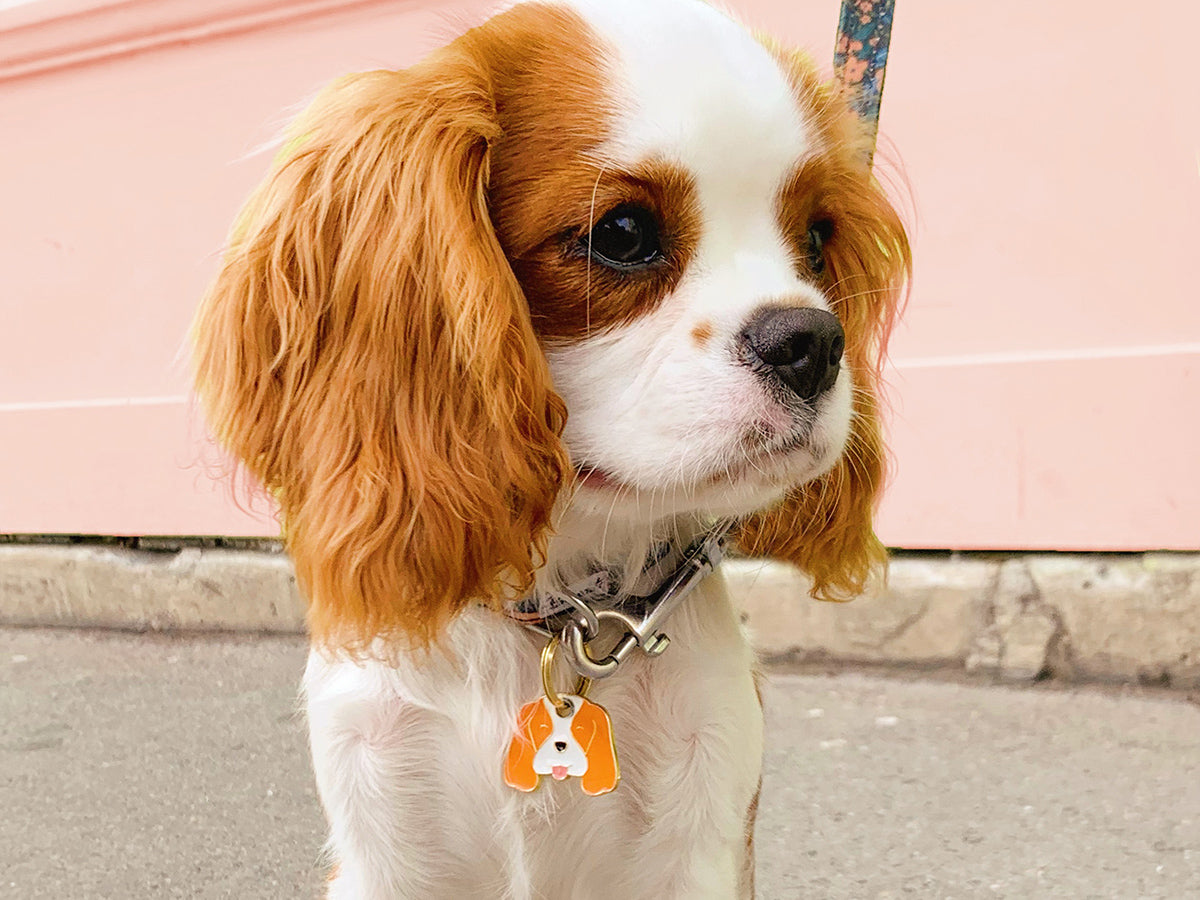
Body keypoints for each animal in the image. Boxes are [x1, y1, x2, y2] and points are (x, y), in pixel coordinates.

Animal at [189, 0, 907, 897]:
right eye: (623, 233)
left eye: (815, 239)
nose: (812, 341)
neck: (559, 615)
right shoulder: (383, 839)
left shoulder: (700, 835)